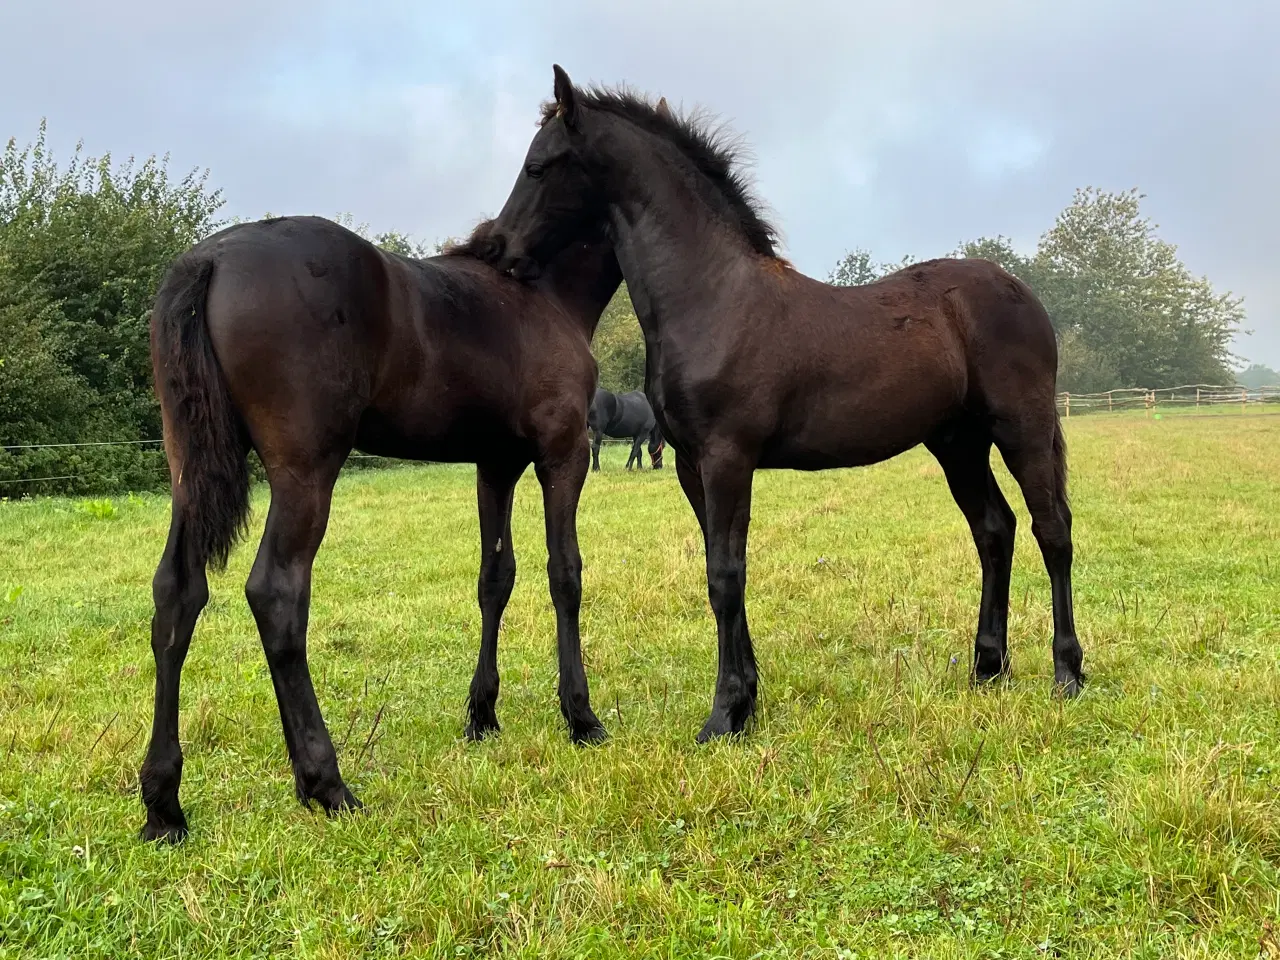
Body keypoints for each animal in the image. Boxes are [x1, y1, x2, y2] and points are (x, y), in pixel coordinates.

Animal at [140, 216, 619, 839]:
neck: (545, 295)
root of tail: (211, 259)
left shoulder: (495, 465)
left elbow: (496, 578)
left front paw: (483, 716)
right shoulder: (564, 455)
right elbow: (565, 575)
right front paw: (581, 716)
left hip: (189, 472)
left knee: (178, 594)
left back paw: (164, 804)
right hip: (305, 474)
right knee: (276, 594)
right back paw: (326, 783)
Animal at [483, 67, 1085, 742]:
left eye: (537, 166)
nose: (495, 247)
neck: (712, 297)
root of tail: (1020, 291)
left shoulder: (727, 458)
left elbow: (724, 576)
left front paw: (722, 715)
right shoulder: (692, 464)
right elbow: (723, 567)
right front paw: (747, 701)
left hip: (1022, 428)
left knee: (1051, 530)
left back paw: (1067, 673)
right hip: (958, 444)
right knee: (994, 530)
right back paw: (987, 668)